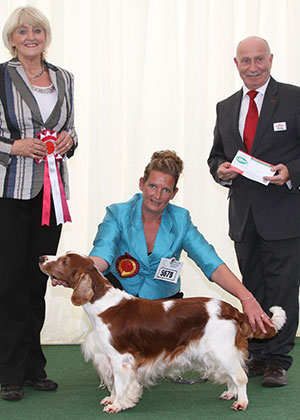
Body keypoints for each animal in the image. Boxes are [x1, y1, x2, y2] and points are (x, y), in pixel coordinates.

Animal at [39, 253, 286, 414]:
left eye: (64, 260)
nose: (42, 258)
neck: (102, 304)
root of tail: (232, 309)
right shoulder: (107, 356)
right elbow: (114, 383)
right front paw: (111, 399)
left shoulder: (121, 358)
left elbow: (120, 383)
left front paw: (118, 404)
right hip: (215, 353)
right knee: (233, 374)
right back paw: (230, 393)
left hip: (222, 349)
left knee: (240, 376)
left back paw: (241, 403)